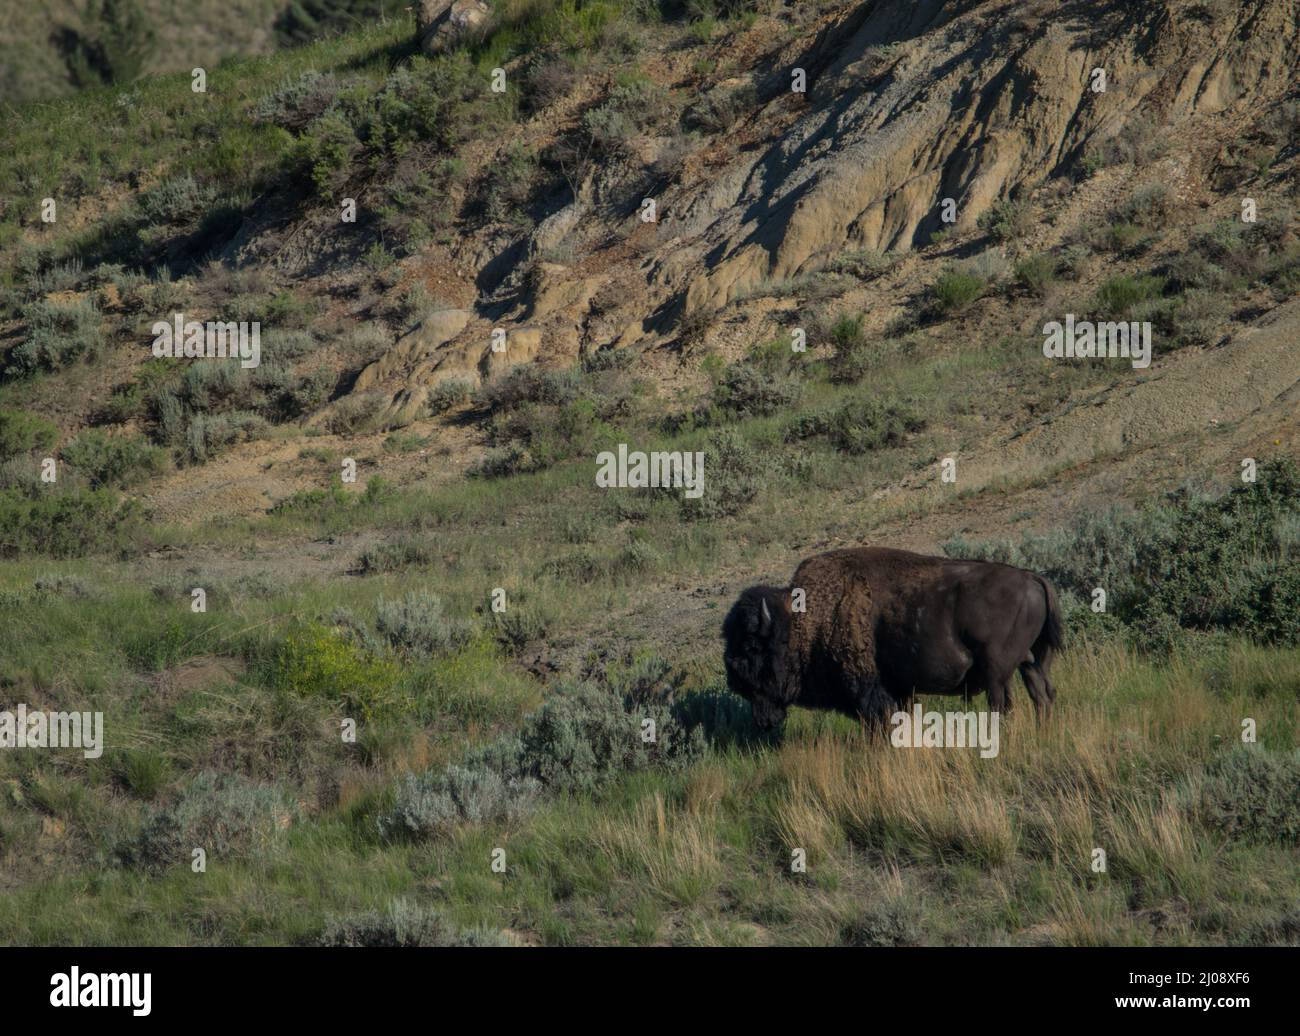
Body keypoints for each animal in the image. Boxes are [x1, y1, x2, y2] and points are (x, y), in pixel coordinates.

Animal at [728, 545, 1060, 733]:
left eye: (751, 646)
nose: (733, 680)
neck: (804, 620)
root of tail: (1033, 578)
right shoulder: (899, 689)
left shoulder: (870, 690)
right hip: (1030, 662)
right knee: (1041, 695)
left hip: (997, 672)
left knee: (1003, 704)